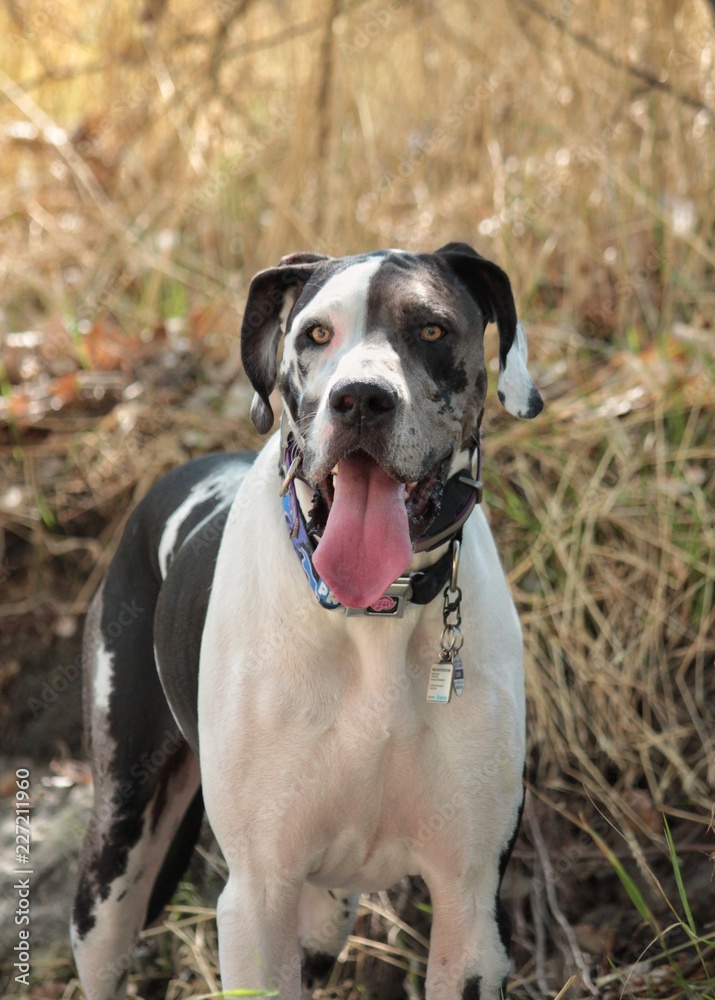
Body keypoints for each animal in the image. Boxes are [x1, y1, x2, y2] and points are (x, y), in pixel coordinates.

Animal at [71, 244, 544, 1000]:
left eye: (432, 329)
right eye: (315, 334)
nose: (361, 398)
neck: (375, 610)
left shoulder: (469, 903)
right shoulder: (256, 897)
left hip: (321, 914)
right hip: (115, 855)